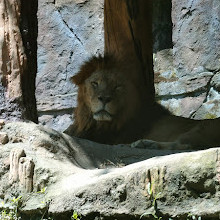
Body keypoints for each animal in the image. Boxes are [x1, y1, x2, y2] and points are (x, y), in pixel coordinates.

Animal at [66, 54, 220, 150]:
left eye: (118, 86)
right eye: (95, 83)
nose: (104, 98)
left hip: (201, 128)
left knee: (187, 147)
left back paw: (142, 144)